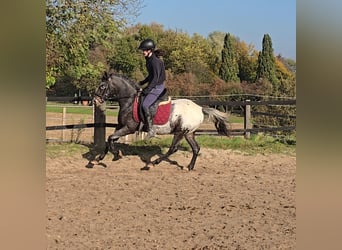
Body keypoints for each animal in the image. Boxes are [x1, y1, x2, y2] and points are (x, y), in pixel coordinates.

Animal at [93, 71, 230, 171]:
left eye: (102, 86)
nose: (95, 101)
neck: (129, 101)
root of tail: (200, 108)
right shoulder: (120, 126)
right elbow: (109, 139)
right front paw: (98, 159)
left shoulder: (129, 128)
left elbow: (111, 138)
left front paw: (117, 155)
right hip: (189, 133)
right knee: (196, 148)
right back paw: (189, 167)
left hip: (180, 132)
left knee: (173, 149)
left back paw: (152, 164)